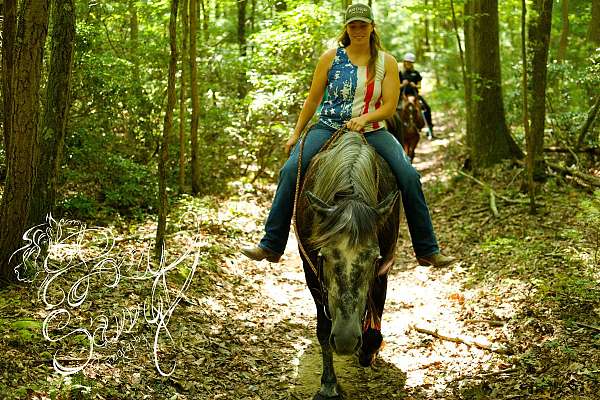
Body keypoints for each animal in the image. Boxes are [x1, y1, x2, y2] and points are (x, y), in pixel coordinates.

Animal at [296, 132, 400, 400]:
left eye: (374, 258)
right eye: (323, 256)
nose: (345, 340)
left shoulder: (383, 270)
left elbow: (376, 313)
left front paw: (368, 349)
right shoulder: (312, 273)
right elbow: (323, 328)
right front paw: (328, 385)